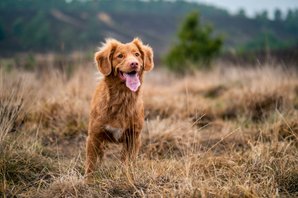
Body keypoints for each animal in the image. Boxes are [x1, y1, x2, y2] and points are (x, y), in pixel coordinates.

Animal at [84, 37, 152, 175]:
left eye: (137, 54)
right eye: (120, 56)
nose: (134, 63)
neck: (122, 98)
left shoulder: (133, 137)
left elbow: (129, 162)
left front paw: (129, 175)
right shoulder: (94, 135)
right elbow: (91, 164)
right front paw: (88, 179)